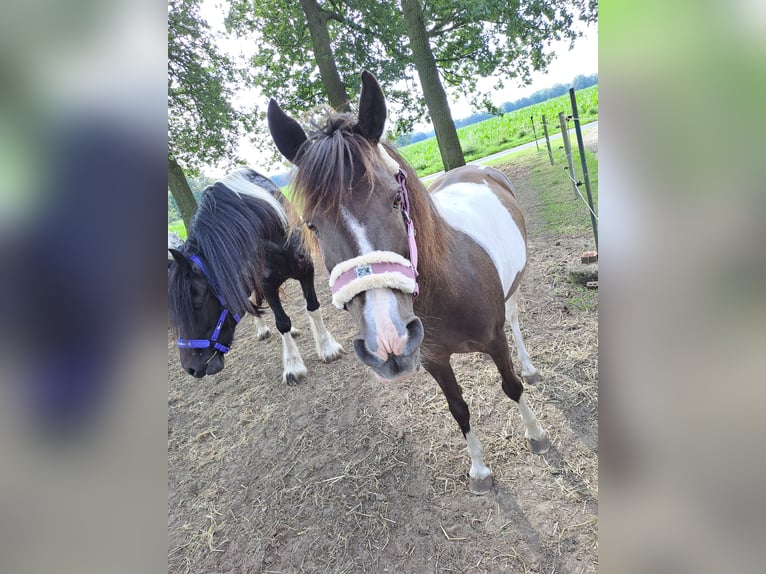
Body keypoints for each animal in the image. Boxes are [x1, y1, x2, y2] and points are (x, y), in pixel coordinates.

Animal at [172, 171, 348, 388]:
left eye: (196, 303)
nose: (191, 368)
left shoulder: (306, 271)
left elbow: (313, 307)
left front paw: (327, 348)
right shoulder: (265, 286)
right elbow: (281, 322)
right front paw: (293, 366)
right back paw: (263, 329)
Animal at [270, 72, 552, 496]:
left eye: (394, 199)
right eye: (312, 224)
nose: (387, 341)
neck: (448, 289)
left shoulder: (495, 341)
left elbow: (511, 386)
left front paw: (535, 434)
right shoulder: (434, 359)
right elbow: (458, 409)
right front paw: (479, 470)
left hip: (514, 289)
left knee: (516, 321)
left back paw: (531, 367)